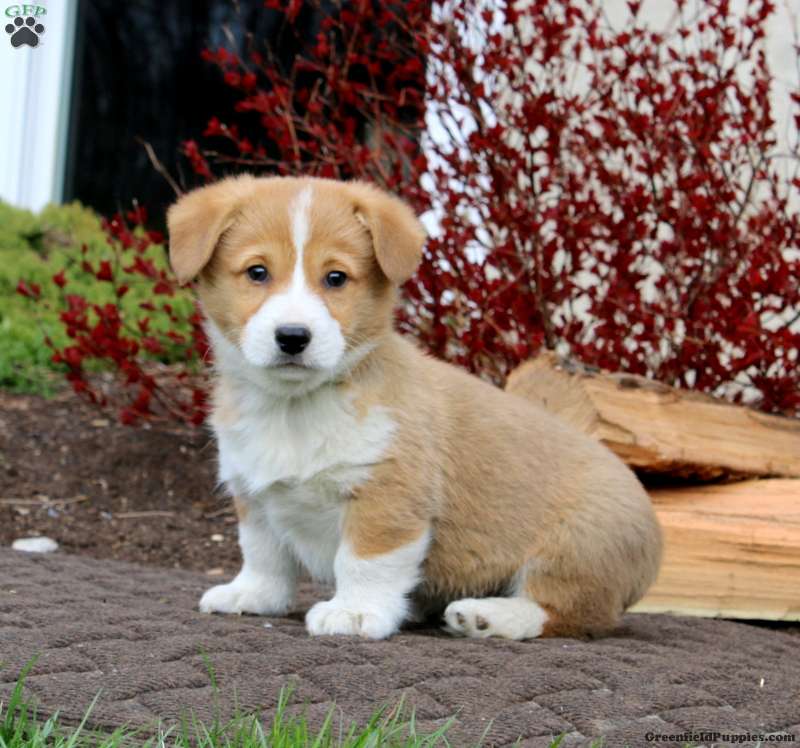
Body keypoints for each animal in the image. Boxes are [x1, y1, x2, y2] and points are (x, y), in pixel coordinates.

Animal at [167, 175, 662, 640]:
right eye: (257, 272)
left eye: (335, 278)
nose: (292, 337)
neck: (295, 406)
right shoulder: (254, 495)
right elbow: (263, 554)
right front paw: (252, 595)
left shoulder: (387, 498)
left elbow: (363, 561)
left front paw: (354, 612)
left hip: (573, 550)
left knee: (566, 612)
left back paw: (486, 616)